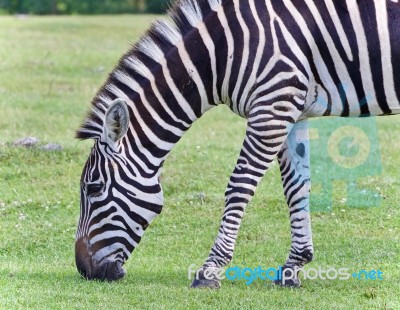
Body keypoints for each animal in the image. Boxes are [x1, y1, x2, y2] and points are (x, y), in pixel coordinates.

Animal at [75, 0, 400, 286]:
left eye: (94, 188)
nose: (84, 271)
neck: (222, 53)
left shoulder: (272, 107)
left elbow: (239, 187)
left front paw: (209, 271)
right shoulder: (292, 110)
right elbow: (296, 187)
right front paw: (293, 266)